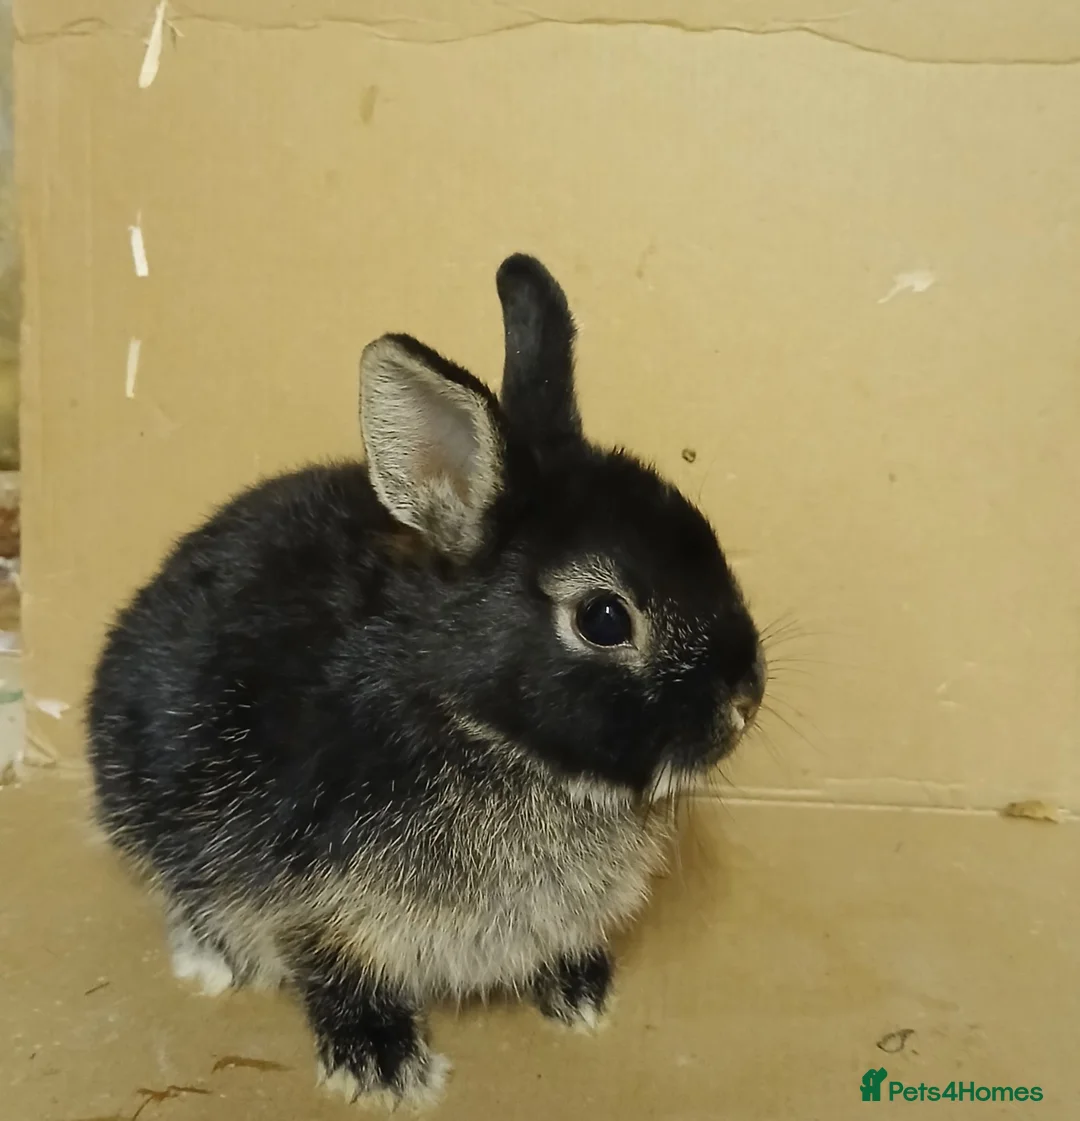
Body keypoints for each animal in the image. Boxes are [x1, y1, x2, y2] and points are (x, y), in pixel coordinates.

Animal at [87, 253, 766, 1108]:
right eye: (605, 618)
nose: (744, 702)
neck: (478, 725)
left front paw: (579, 991)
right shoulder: (313, 898)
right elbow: (334, 968)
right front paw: (382, 1066)